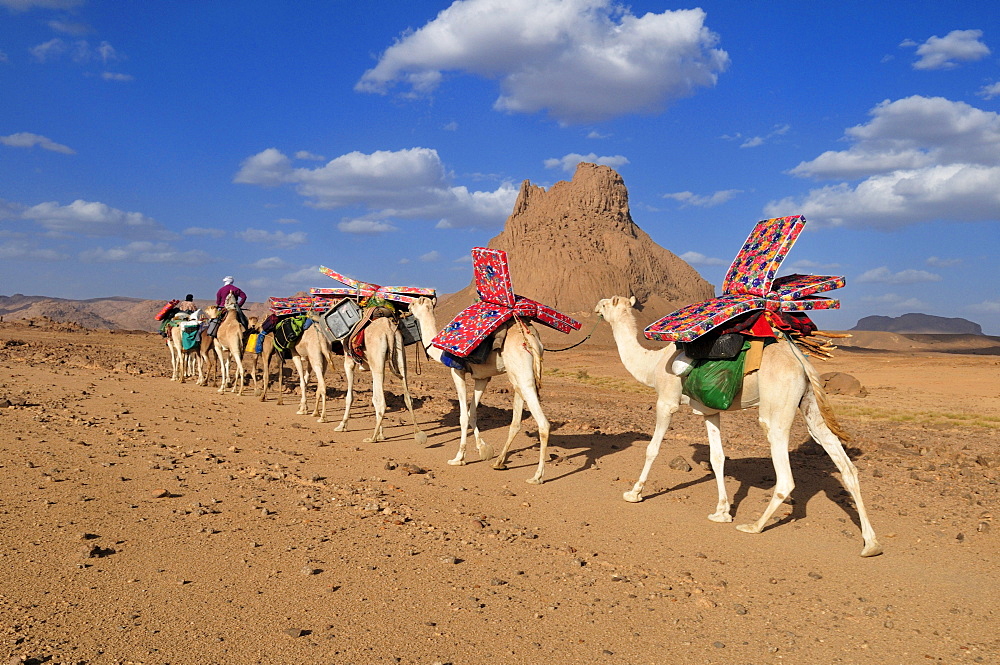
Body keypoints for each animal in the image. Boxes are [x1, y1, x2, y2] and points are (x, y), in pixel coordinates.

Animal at [336, 312, 426, 446]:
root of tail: (388, 329)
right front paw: (381, 434)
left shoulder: (349, 361)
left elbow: (349, 397)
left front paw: (342, 426)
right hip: (399, 354)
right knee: (407, 398)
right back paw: (418, 432)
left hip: (377, 358)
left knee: (380, 402)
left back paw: (372, 438)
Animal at [412, 296, 556, 482]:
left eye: (414, 303)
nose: (406, 307)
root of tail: (531, 338)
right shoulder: (481, 378)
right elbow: (472, 413)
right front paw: (483, 449)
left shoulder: (456, 371)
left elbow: (463, 417)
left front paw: (458, 458)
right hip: (518, 374)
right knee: (516, 422)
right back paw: (499, 463)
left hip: (523, 373)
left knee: (543, 424)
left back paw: (537, 476)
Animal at [596, 296, 880, 556]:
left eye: (607, 303)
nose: (596, 308)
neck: (652, 365)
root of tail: (802, 361)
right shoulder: (709, 411)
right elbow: (717, 457)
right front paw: (722, 511)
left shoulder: (666, 400)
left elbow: (652, 449)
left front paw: (634, 493)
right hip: (809, 404)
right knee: (844, 464)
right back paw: (871, 544)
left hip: (777, 405)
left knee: (785, 475)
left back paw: (754, 526)